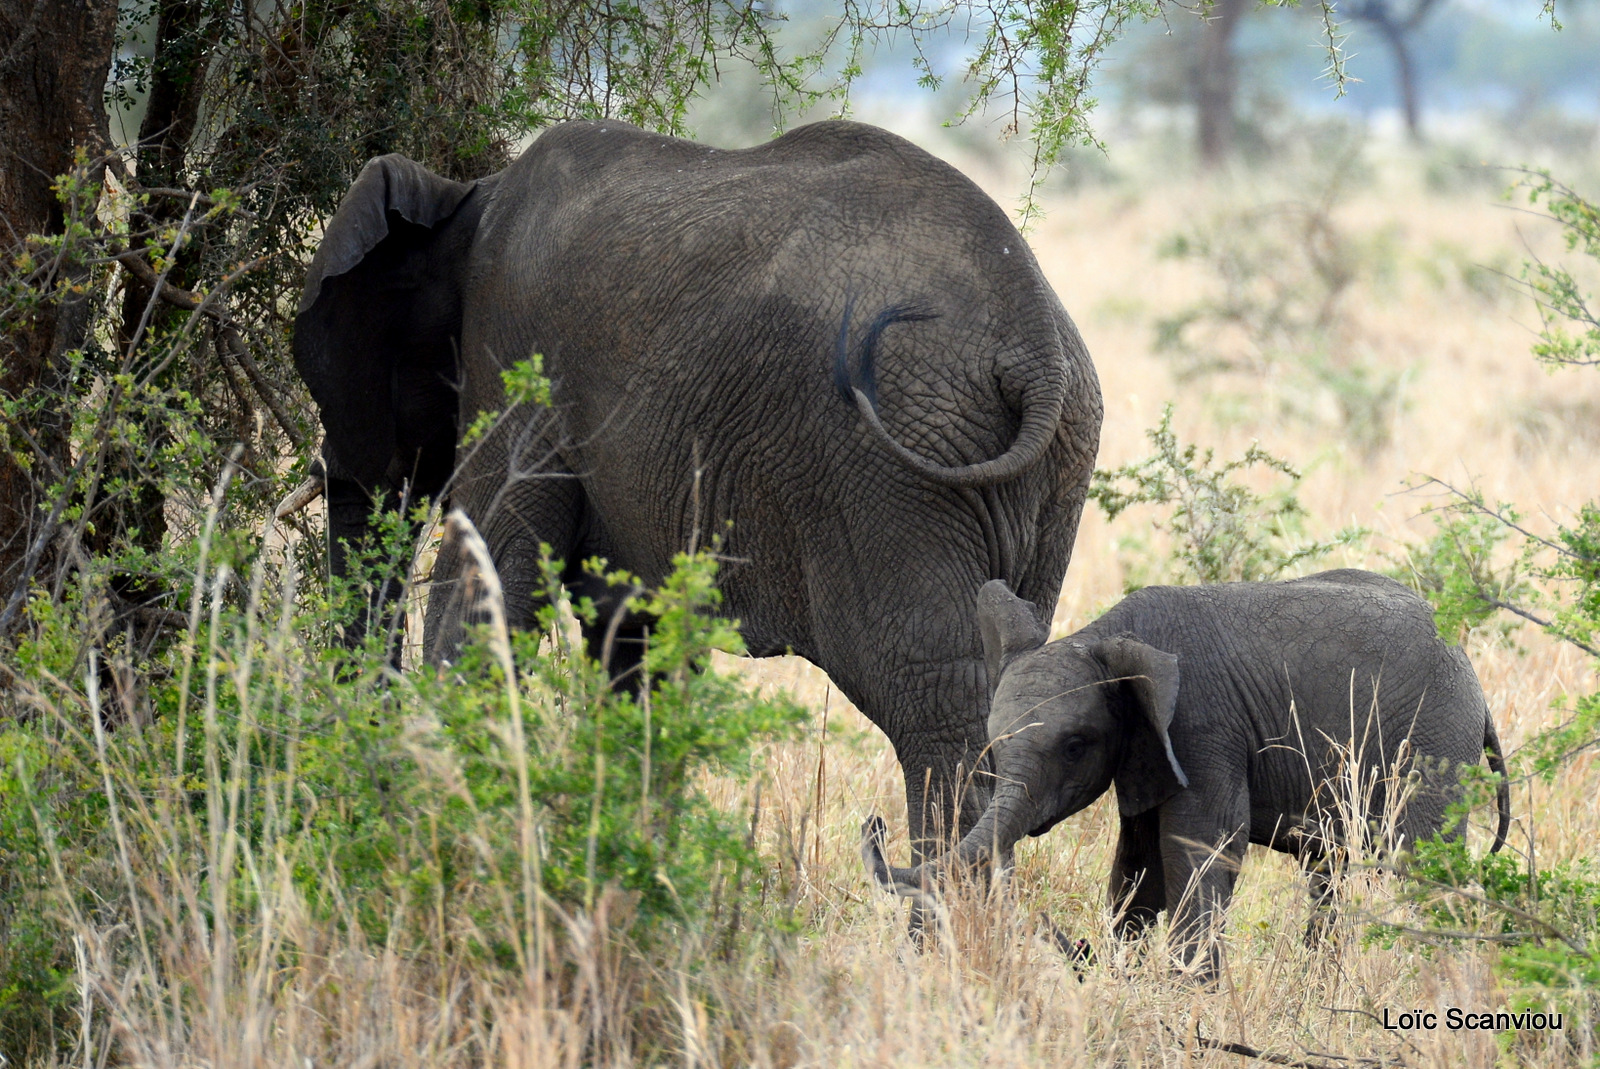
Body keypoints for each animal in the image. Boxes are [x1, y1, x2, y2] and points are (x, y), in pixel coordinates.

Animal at [294, 116, 1107, 851]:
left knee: (929, 703)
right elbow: (635, 639)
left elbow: (487, 587)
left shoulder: (517, 367)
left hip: (894, 473)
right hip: (1056, 464)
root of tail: (1034, 345)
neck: (466, 201)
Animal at [870, 572, 1504, 979]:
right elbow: (1139, 865)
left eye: (1074, 746)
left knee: (1422, 866)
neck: (1104, 638)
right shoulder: (1149, 746)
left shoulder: (1202, 727)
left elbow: (1201, 848)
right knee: (1331, 875)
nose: (874, 827)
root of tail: (1474, 678)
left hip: (1433, 745)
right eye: (995, 749)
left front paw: (1189, 996)